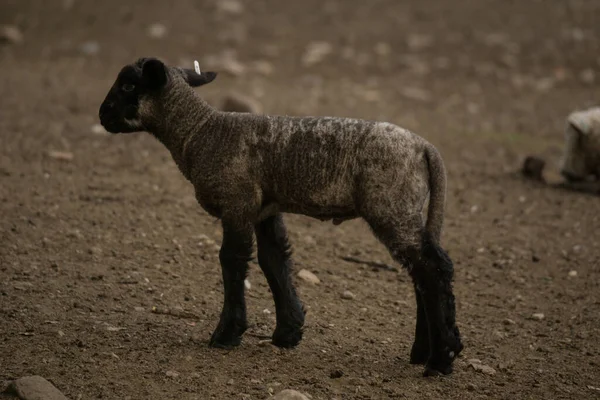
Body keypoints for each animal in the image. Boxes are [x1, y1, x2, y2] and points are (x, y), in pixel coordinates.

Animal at [98, 57, 464, 376]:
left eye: (129, 85)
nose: (102, 115)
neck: (200, 132)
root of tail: (425, 148)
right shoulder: (265, 209)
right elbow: (274, 260)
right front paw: (288, 332)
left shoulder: (237, 203)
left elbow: (232, 261)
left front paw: (226, 335)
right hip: (406, 210)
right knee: (425, 271)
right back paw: (423, 352)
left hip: (391, 206)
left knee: (432, 271)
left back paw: (441, 359)